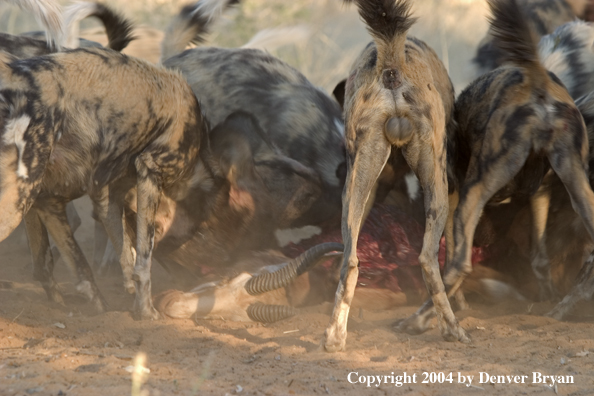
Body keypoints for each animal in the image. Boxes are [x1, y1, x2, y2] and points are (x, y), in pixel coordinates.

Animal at [0, 47, 206, 318]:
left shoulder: (74, 196)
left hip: (28, 193)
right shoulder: (148, 172)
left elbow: (88, 262)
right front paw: (146, 312)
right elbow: (143, 262)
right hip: (17, 201)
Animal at [320, 0, 462, 352]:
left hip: (356, 190)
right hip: (437, 187)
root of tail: (392, 64)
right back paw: (451, 329)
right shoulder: (450, 191)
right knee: (427, 259)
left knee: (349, 262)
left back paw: (335, 337)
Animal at [396, 0, 594, 338]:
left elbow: (444, 262)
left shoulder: (451, 199)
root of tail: (536, 80)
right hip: (577, 187)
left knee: (459, 264)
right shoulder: (539, 195)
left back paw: (419, 320)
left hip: (473, 194)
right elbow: (540, 259)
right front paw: (546, 297)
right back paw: (558, 308)